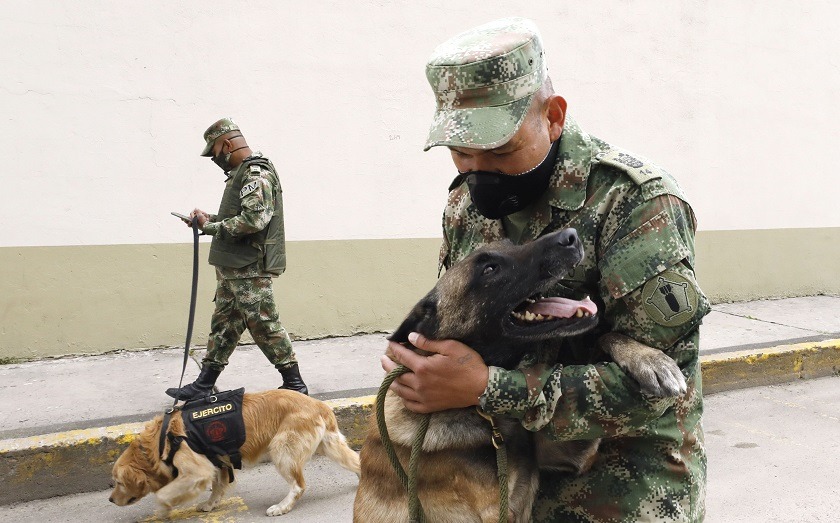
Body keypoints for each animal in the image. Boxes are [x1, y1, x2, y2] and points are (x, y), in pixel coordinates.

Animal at [110, 390, 360, 516]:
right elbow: (218, 487)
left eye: (119, 483)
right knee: (357, 461)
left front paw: (162, 510)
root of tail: (320, 405)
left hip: (282, 449)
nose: (111, 499)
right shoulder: (218, 464)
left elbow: (163, 494)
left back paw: (281, 507)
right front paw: (210, 504)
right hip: (331, 446)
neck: (162, 440)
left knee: (298, 486)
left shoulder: (197, 471)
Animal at [352, 229, 684, 523]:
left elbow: (600, 337)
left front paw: (649, 358)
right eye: (489, 269)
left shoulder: (571, 452)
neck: (482, 414)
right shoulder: (495, 512)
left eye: (512, 244)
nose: (571, 236)